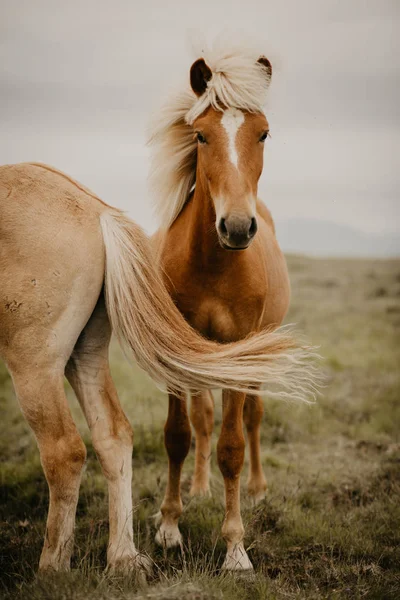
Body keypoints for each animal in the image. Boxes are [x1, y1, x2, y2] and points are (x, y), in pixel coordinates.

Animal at [150, 44, 306, 568]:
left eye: (264, 133)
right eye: (200, 135)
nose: (237, 227)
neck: (213, 266)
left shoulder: (239, 350)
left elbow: (233, 446)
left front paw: (235, 547)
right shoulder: (176, 352)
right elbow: (179, 435)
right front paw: (170, 525)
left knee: (253, 418)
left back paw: (256, 490)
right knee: (202, 420)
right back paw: (198, 489)